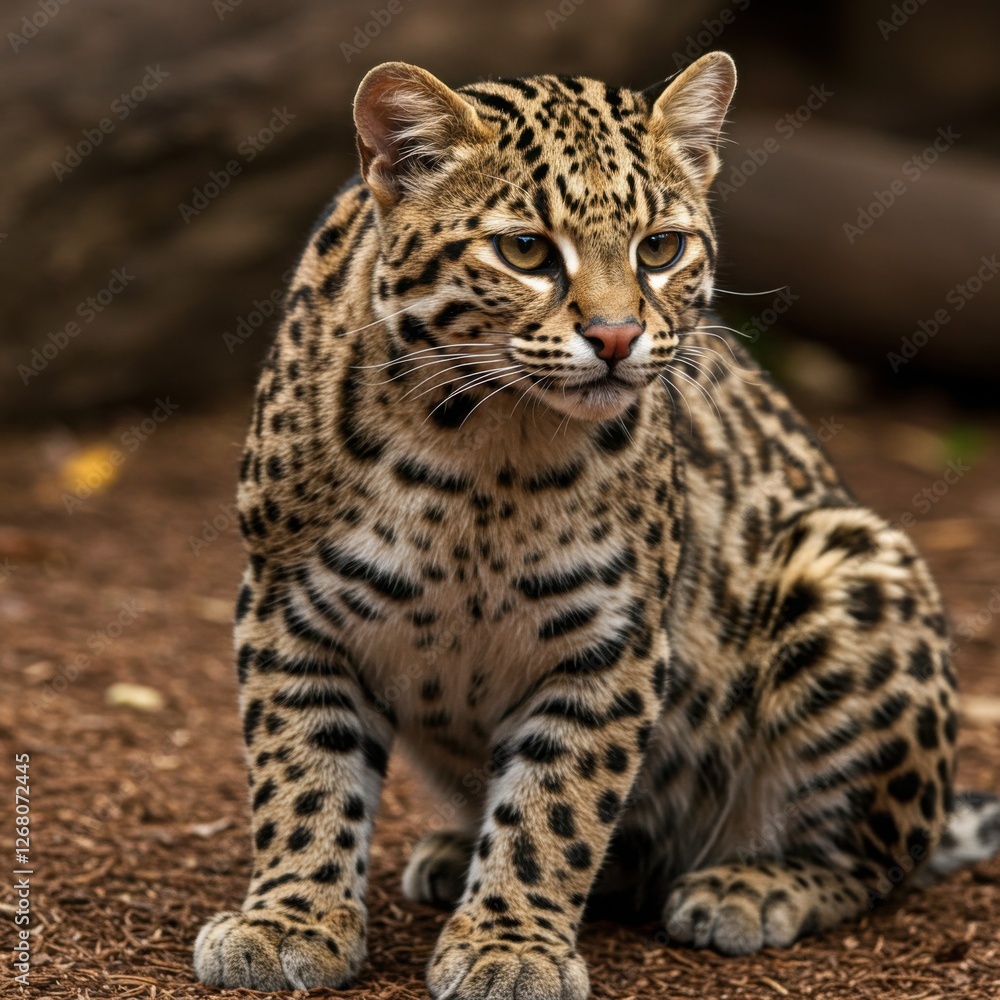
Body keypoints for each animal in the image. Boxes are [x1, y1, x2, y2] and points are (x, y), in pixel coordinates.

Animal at [192, 53, 1000, 998]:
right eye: (526, 250)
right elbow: (303, 776)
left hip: (855, 566)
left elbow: (557, 806)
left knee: (875, 858)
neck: (479, 453)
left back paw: (749, 886)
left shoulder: (611, 638)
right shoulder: (288, 607)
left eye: (660, 248)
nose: (616, 337)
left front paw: (510, 949)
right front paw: (288, 921)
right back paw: (455, 855)